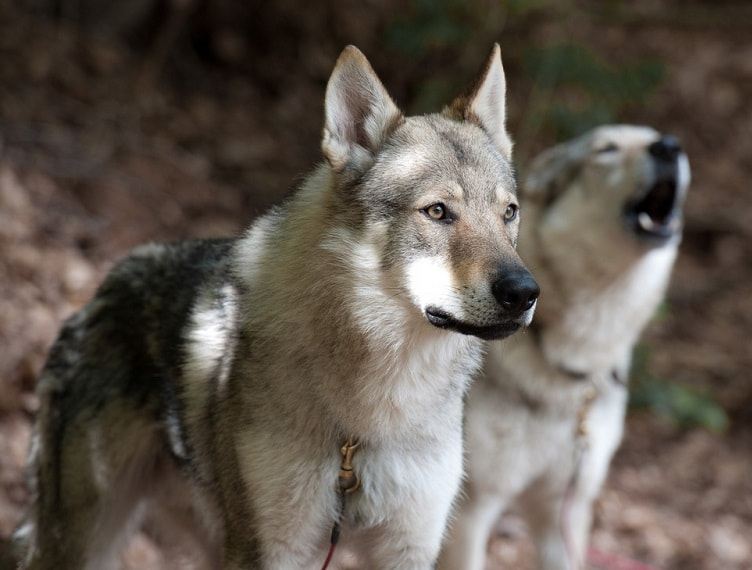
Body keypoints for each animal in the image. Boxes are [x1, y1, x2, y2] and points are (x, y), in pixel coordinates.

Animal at [9, 44, 539, 570]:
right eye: (437, 211)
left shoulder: (407, 550)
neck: (368, 419)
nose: (524, 292)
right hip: (85, 540)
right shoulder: (270, 551)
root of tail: (102, 288)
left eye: (508, 213)